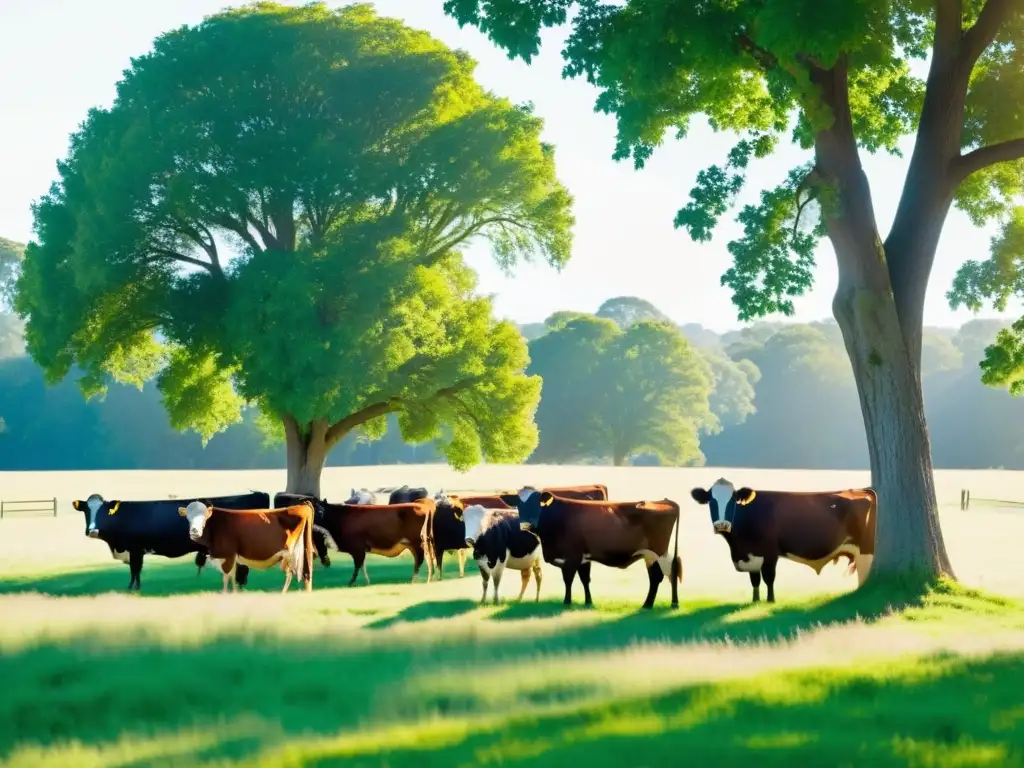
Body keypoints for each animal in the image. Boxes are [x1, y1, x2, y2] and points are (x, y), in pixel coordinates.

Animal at [180, 499, 313, 593]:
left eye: (204, 517)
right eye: (188, 517)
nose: (194, 531)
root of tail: (303, 506)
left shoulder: (227, 554)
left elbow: (226, 577)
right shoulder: (231, 556)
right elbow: (232, 576)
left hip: (295, 551)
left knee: (298, 573)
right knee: (299, 573)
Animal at [501, 489, 684, 610]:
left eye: (537, 503)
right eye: (519, 504)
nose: (526, 524)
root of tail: (664, 501)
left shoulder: (571, 557)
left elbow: (568, 580)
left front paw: (566, 602)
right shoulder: (583, 558)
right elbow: (585, 580)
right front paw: (588, 602)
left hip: (659, 552)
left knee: (666, 573)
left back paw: (664, 604)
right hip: (651, 555)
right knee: (661, 575)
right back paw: (655, 604)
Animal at [692, 479, 876, 606]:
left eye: (733, 500)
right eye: (711, 501)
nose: (721, 525)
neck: (738, 547)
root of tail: (860, 490)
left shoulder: (770, 553)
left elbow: (769, 578)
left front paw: (771, 600)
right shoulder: (752, 556)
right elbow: (755, 580)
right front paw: (755, 600)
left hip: (866, 551)